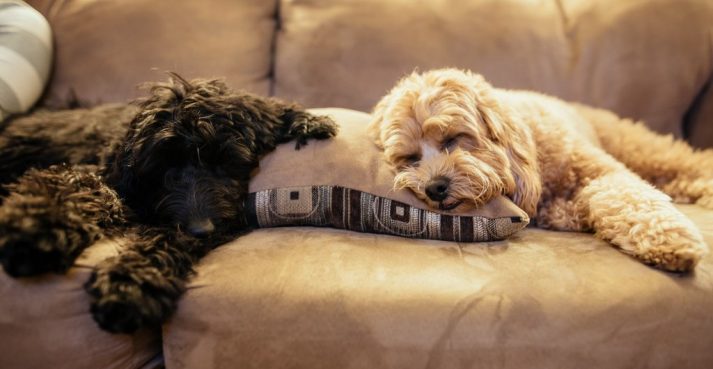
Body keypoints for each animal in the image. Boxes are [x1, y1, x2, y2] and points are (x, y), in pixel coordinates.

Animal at [0, 73, 338, 332]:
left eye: (226, 161)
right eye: (163, 166)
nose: (201, 229)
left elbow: (168, 237)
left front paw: (131, 284)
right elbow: (76, 185)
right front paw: (35, 228)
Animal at [370, 67, 708, 272]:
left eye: (452, 139)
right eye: (412, 158)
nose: (434, 187)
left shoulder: (604, 170)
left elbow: (628, 195)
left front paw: (668, 241)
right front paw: (573, 213)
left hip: (639, 147)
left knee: (686, 161)